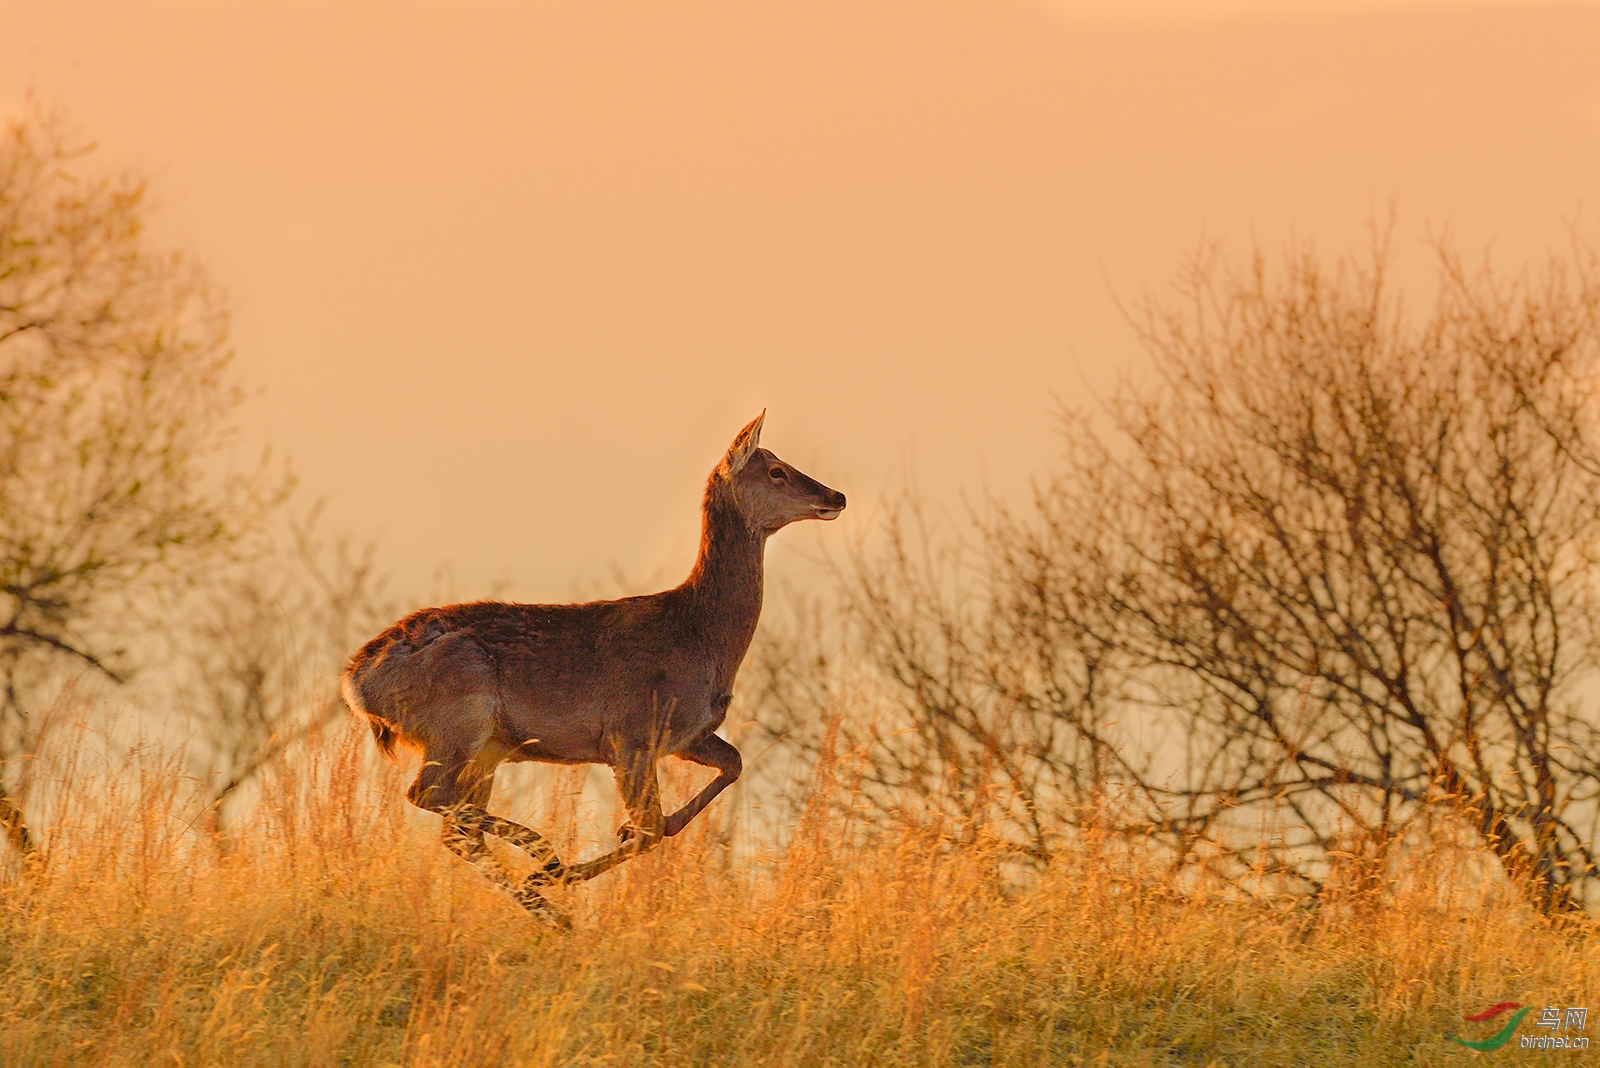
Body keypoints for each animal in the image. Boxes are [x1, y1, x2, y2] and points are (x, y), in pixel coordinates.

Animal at [332, 412, 844, 927]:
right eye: (776, 471)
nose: (835, 496)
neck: (700, 636)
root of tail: (356, 680)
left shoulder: (682, 736)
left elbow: (727, 769)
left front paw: (599, 853)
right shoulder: (631, 734)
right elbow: (649, 829)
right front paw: (566, 870)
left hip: (487, 746)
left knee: (457, 827)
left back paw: (551, 909)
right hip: (459, 718)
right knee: (428, 796)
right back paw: (545, 864)